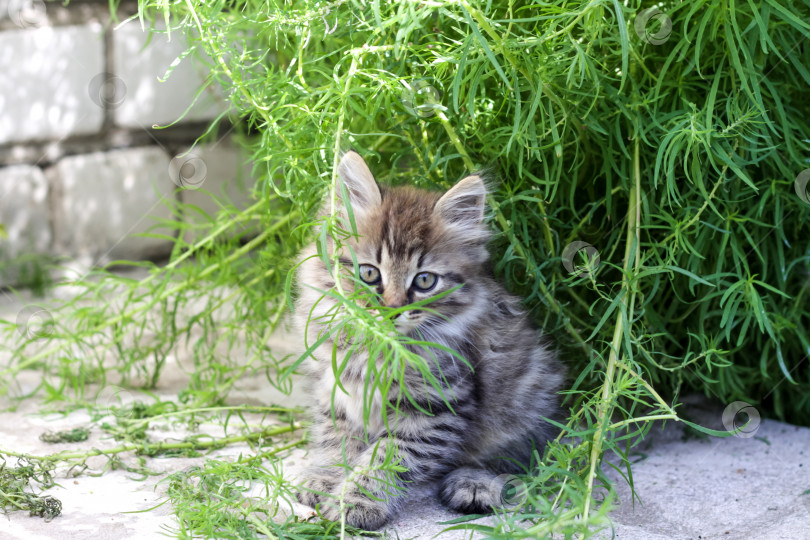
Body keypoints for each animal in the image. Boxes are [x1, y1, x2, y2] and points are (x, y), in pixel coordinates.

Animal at [294, 150, 564, 528]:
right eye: (369, 273)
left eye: (424, 281)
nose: (391, 310)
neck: (376, 347)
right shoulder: (336, 390)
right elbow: (336, 440)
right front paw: (325, 476)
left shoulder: (434, 409)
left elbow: (386, 458)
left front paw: (357, 501)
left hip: (521, 405)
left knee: (513, 457)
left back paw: (474, 484)